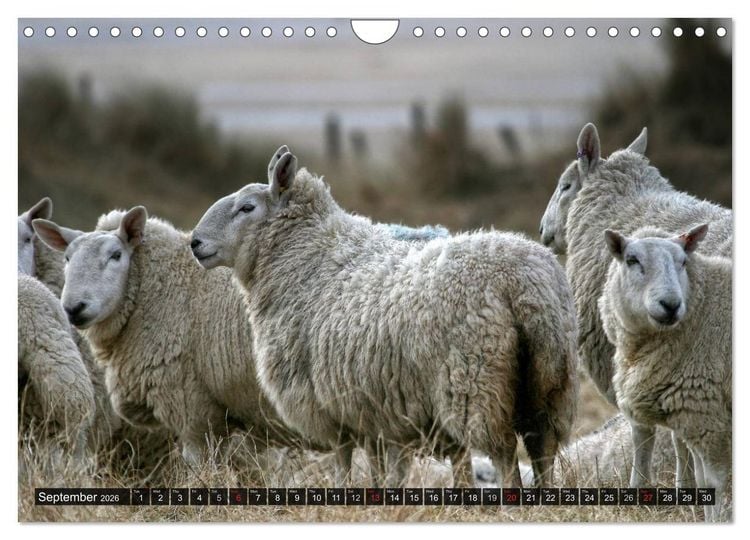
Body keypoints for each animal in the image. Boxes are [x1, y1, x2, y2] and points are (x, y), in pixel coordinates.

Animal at [190, 146, 579, 487]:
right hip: (550, 381)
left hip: (475, 383)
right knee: (542, 448)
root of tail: (520, 281)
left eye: (246, 207)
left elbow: (343, 457)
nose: (195, 242)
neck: (308, 256)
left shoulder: (328, 401)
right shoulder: (371, 407)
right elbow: (377, 461)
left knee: (504, 453)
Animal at [598, 225, 731, 520]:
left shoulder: (708, 418)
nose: (670, 304)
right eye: (632, 260)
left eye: (683, 262)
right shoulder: (696, 416)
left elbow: (715, 482)